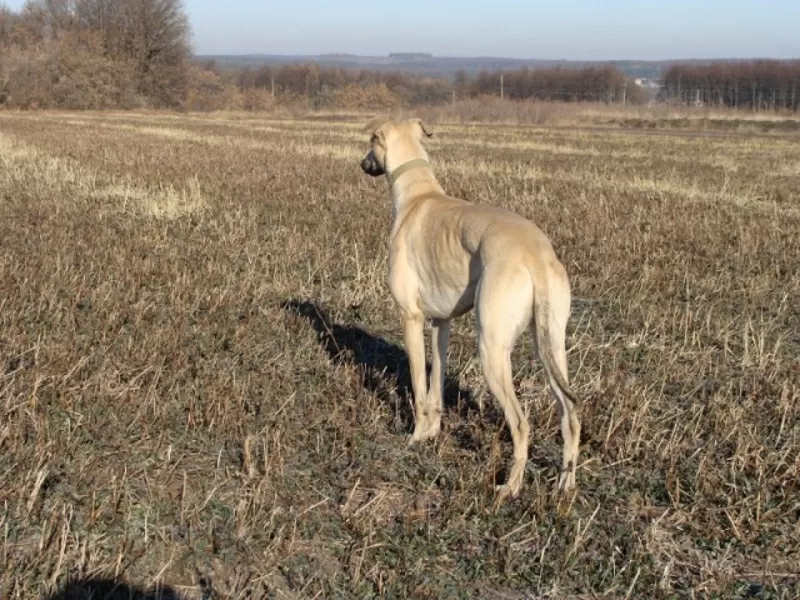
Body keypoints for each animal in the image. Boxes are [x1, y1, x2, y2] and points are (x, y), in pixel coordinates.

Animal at [360, 117, 580, 502]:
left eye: (372, 143)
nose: (362, 163)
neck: (419, 194)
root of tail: (535, 255)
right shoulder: (440, 323)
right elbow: (435, 384)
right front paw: (431, 433)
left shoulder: (410, 318)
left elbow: (419, 387)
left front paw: (415, 436)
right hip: (551, 346)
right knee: (570, 414)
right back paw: (566, 484)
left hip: (492, 351)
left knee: (521, 424)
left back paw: (510, 486)